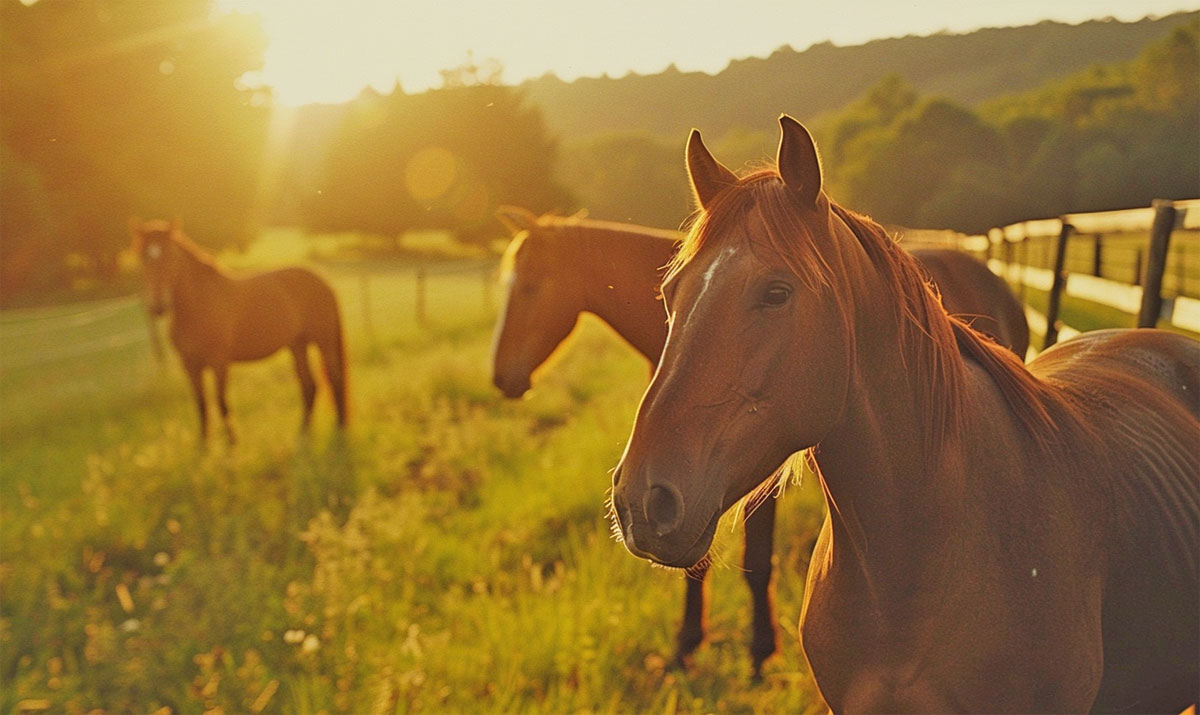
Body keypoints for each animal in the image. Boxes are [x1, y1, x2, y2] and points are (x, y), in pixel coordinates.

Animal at [132, 218, 348, 441]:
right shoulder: (190, 366)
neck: (198, 306)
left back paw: (340, 428)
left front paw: (232, 443)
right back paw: (304, 433)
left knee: (335, 379)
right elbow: (202, 405)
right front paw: (204, 444)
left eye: (171, 255)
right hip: (298, 345)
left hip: (324, 342)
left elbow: (220, 401)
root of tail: (322, 280)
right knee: (309, 385)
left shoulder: (219, 362)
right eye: (142, 257)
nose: (158, 306)